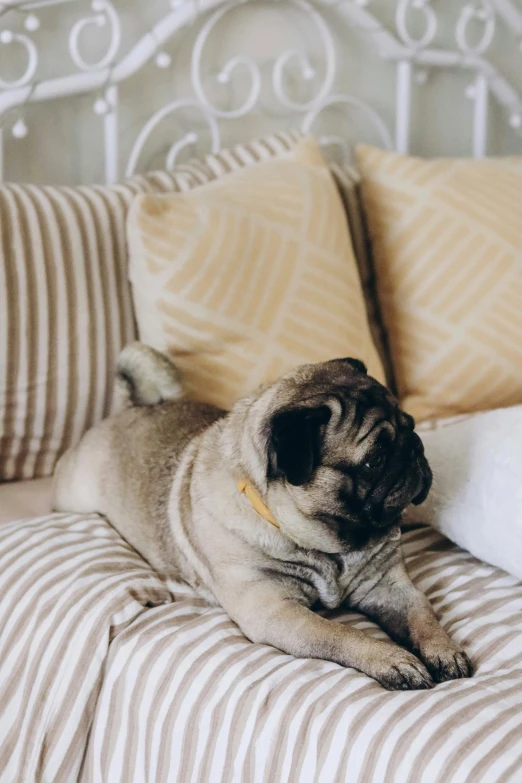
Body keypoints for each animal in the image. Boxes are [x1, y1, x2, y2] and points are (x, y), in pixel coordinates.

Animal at [52, 346, 472, 688]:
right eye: (375, 459)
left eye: (411, 425)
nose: (414, 449)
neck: (330, 544)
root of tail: (127, 410)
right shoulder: (277, 611)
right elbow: (342, 635)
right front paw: (393, 660)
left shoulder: (389, 587)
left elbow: (423, 616)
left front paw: (443, 650)